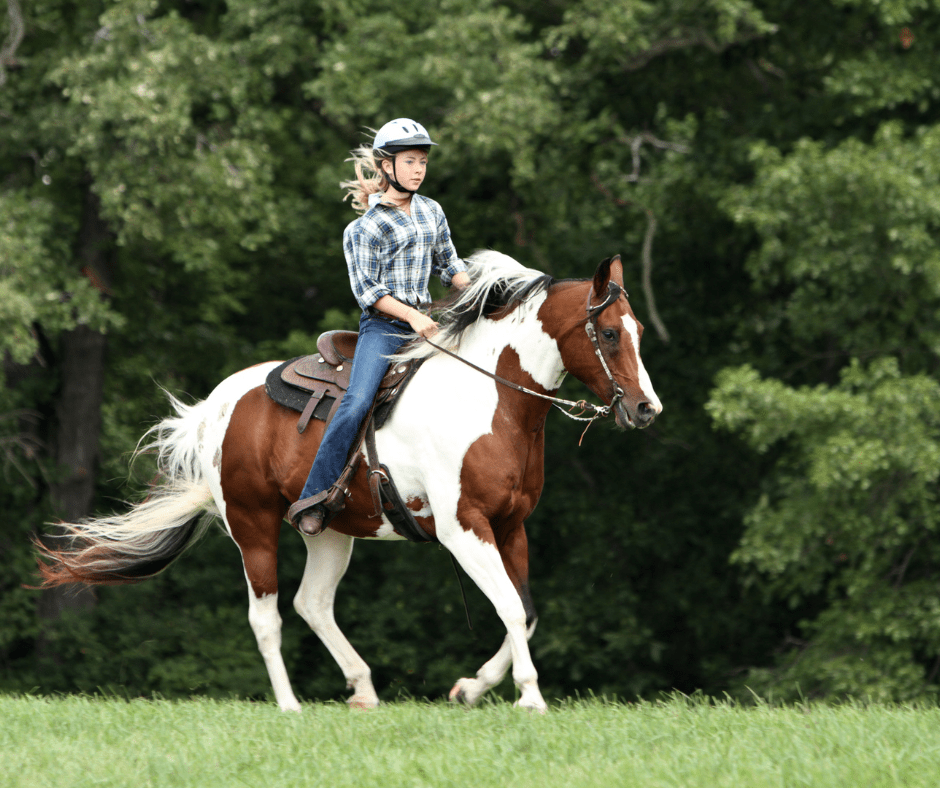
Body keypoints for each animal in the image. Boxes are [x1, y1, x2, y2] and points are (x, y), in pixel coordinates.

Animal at [36, 250, 662, 713]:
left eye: (637, 329)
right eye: (609, 333)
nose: (646, 409)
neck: (491, 400)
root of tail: (215, 408)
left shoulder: (511, 526)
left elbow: (525, 613)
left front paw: (471, 688)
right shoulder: (464, 528)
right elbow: (508, 605)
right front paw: (529, 698)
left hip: (329, 530)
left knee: (312, 602)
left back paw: (362, 689)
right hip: (252, 524)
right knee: (266, 616)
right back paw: (290, 705)